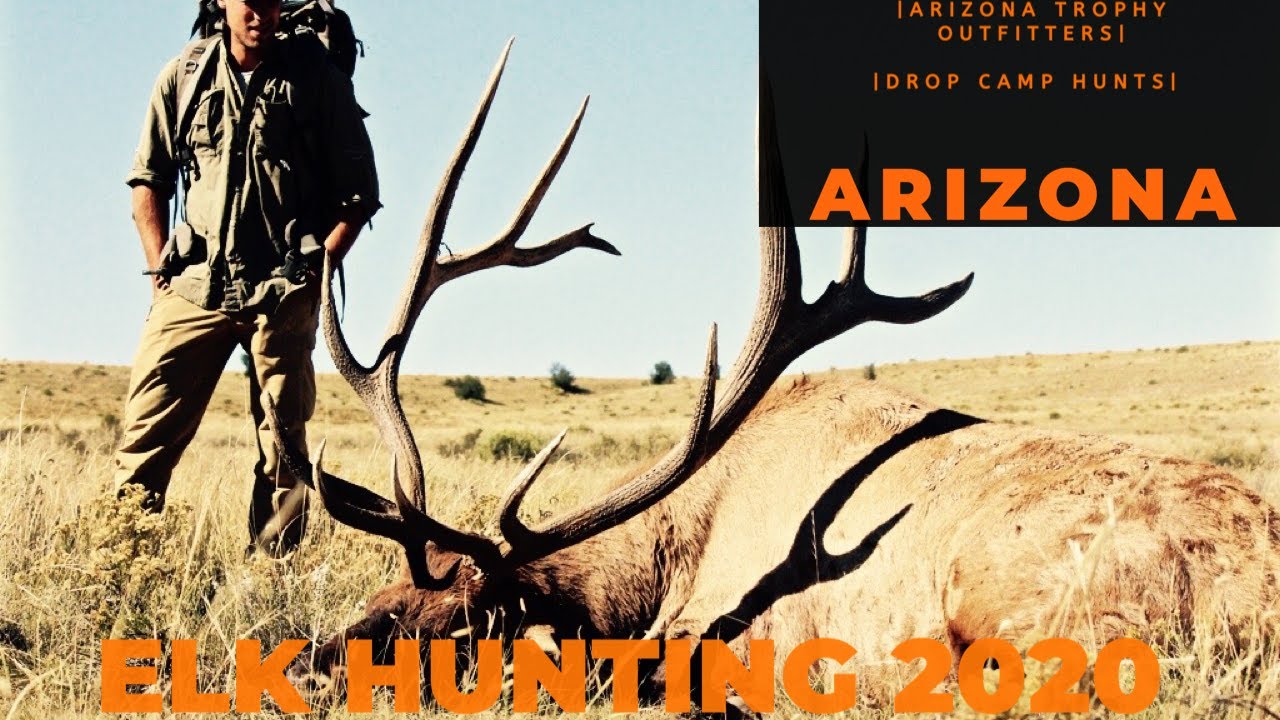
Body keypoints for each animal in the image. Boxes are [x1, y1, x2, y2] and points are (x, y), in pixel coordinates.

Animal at [265, 41, 1280, 711]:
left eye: (443, 630)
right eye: (378, 599)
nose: (298, 661)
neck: (661, 567)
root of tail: (1252, 609)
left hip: (1022, 602)